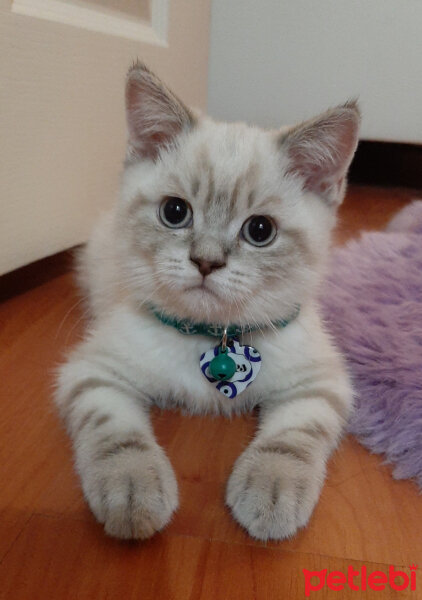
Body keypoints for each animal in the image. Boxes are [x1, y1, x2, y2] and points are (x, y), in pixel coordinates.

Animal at [55, 63, 360, 540]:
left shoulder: (319, 382)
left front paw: (272, 489)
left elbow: (291, 440)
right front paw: (132, 490)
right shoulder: (93, 372)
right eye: (175, 212)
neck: (212, 335)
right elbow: (116, 434)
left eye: (260, 230)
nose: (206, 261)